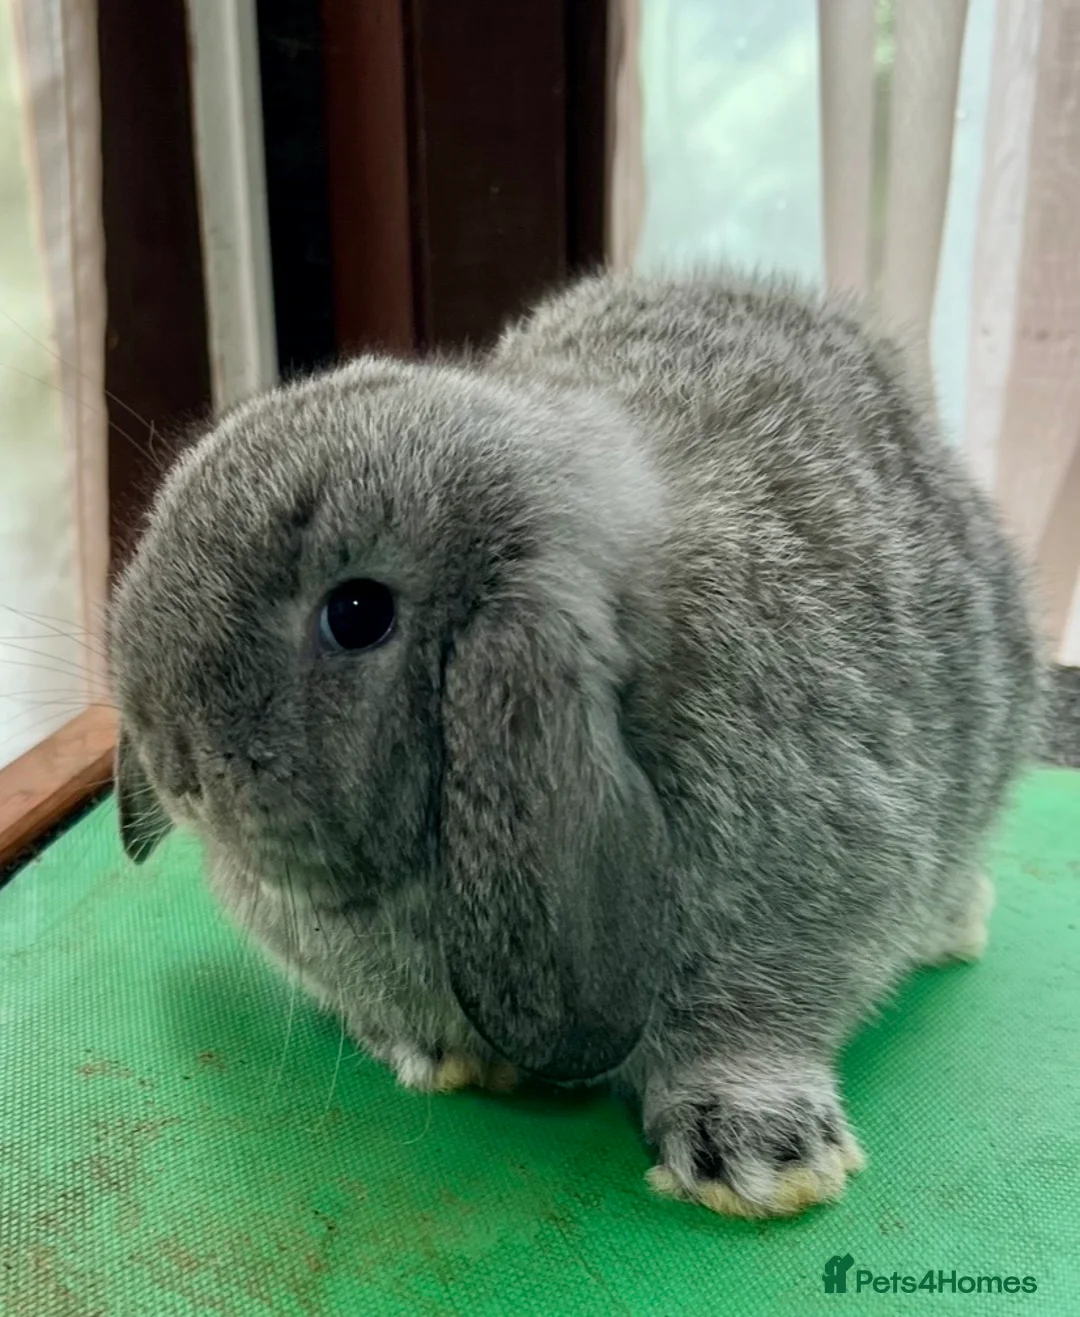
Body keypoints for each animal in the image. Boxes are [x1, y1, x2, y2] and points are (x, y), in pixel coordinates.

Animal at [109, 269, 1043, 1218]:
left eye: (359, 613)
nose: (174, 766)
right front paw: (428, 1053)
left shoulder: (812, 888)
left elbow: (751, 1026)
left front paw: (761, 1155)